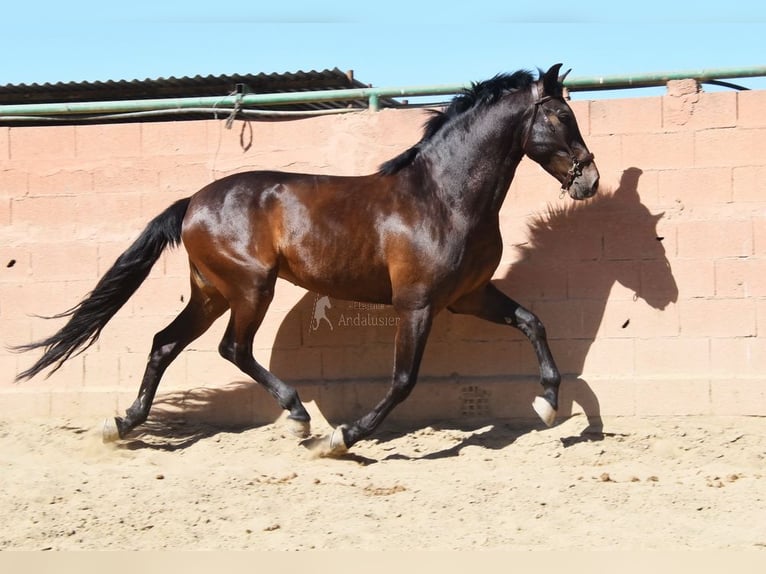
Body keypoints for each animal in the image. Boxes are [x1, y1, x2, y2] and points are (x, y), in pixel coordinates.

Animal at [14, 64, 599, 455]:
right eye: (561, 114)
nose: (590, 179)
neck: (443, 197)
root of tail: (193, 202)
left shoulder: (469, 296)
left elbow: (532, 322)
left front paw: (548, 405)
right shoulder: (417, 305)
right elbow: (403, 379)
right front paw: (343, 438)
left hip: (211, 292)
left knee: (164, 344)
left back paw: (123, 424)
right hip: (251, 289)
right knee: (232, 348)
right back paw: (297, 417)